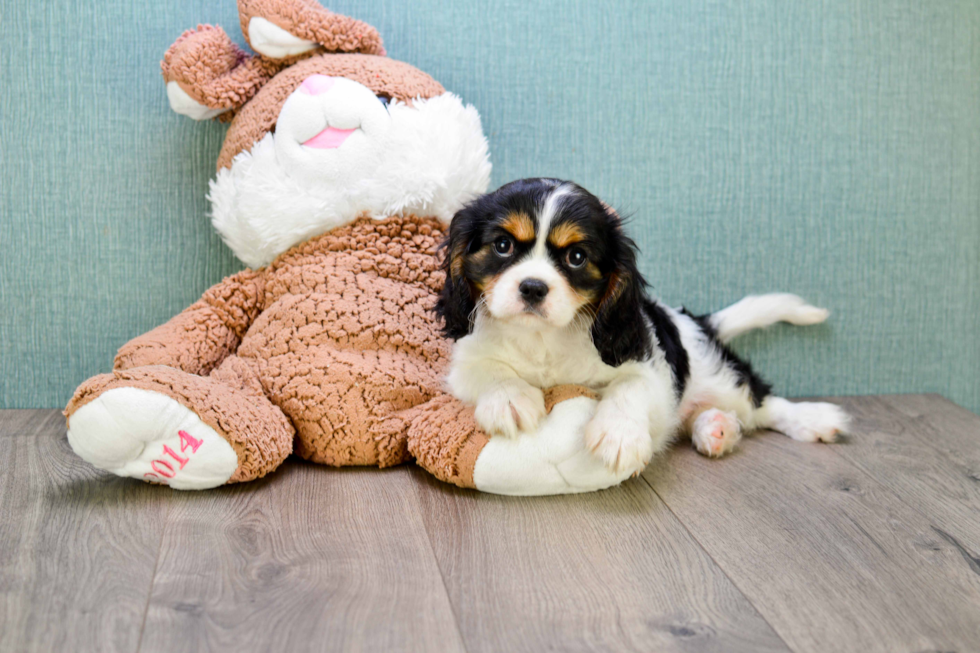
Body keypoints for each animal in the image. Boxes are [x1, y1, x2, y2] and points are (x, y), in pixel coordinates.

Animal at [436, 178, 848, 474]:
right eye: (502, 246)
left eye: (576, 257)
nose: (533, 287)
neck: (543, 338)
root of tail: (695, 320)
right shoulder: (465, 361)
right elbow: (490, 371)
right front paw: (510, 399)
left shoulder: (649, 366)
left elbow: (629, 387)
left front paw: (619, 434)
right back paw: (716, 428)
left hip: (721, 378)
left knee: (762, 402)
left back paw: (813, 419)